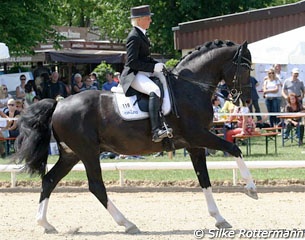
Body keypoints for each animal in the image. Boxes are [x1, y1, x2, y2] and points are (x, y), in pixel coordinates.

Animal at [15, 40, 255, 233]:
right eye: (244, 67)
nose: (247, 100)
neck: (189, 88)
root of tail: (59, 103)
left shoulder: (194, 144)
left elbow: (204, 179)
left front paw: (220, 218)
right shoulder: (199, 135)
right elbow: (234, 149)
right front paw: (251, 189)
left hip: (71, 154)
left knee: (49, 180)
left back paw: (45, 224)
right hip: (88, 152)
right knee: (96, 186)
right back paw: (128, 224)